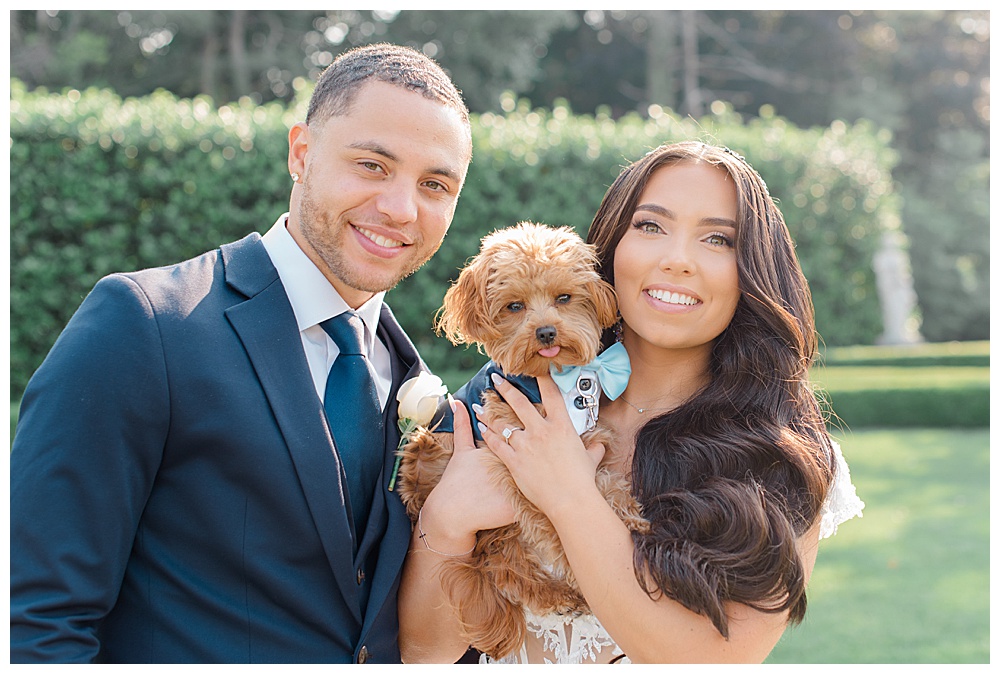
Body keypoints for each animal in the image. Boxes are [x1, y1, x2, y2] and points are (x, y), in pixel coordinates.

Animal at [394, 220, 652, 656]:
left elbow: (601, 484)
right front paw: (577, 561)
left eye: (564, 298)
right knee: (503, 564)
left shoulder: (583, 441)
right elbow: (554, 519)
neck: (551, 383)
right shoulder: (516, 466)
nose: (546, 332)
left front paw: (628, 514)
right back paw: (561, 593)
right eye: (514, 306)